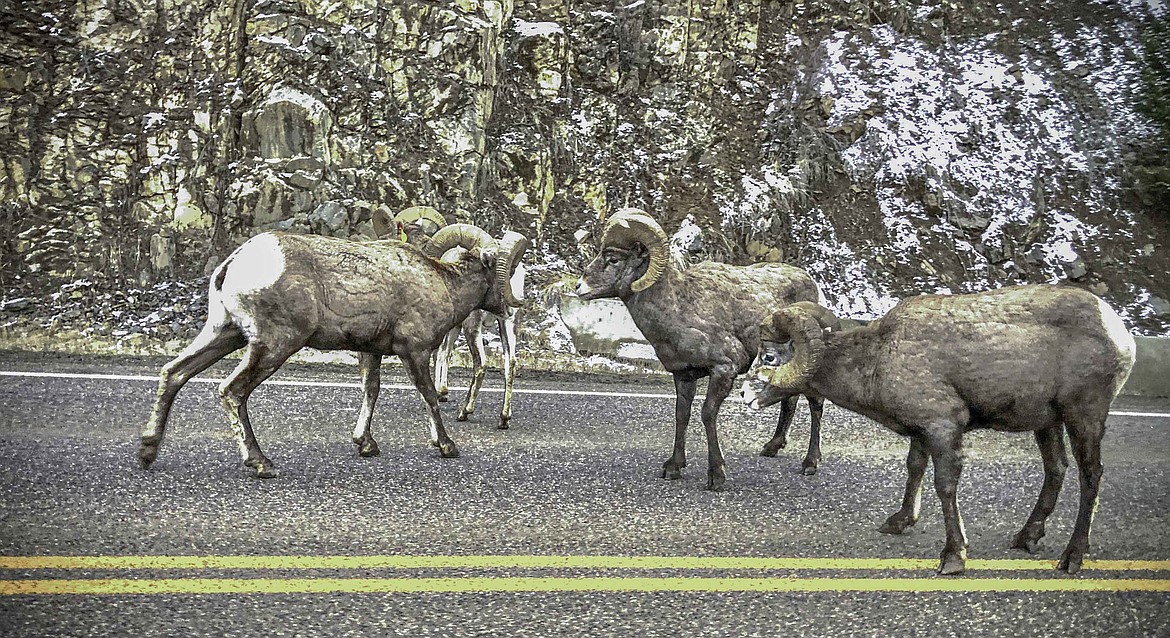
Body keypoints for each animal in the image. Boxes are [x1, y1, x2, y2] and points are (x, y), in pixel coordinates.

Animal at [133, 221, 531, 475]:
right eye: (505, 270)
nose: (513, 306)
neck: (444, 286)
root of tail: (235, 264)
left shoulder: (371, 352)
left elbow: (371, 391)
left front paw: (365, 444)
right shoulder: (414, 351)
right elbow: (430, 396)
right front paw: (447, 446)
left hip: (224, 333)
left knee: (174, 373)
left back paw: (148, 451)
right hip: (273, 345)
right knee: (231, 391)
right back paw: (261, 464)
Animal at [575, 208, 823, 486]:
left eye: (613, 259)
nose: (579, 287)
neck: (680, 308)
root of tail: (809, 282)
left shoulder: (723, 370)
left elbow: (707, 414)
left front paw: (716, 475)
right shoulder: (683, 375)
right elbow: (682, 415)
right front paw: (673, 467)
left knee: (815, 404)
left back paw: (810, 463)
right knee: (791, 399)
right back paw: (771, 447)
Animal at [744, 285, 1137, 573]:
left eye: (769, 356)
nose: (746, 394)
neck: (877, 357)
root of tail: (1119, 333)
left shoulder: (943, 429)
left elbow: (944, 487)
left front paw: (953, 558)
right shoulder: (921, 433)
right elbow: (914, 469)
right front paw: (899, 522)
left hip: (1083, 417)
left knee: (1090, 476)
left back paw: (1072, 558)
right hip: (1047, 422)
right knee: (1056, 469)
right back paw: (1026, 538)